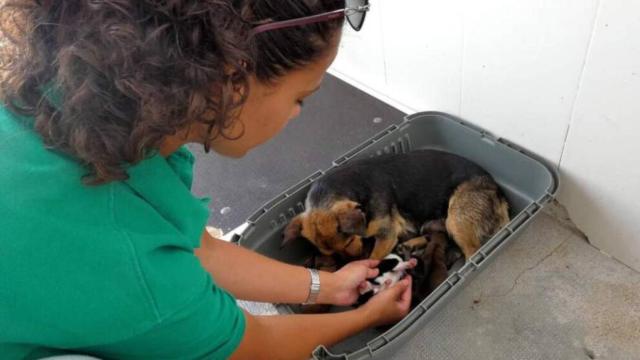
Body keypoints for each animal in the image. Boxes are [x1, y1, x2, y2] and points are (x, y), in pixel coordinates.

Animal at [282, 150, 512, 262]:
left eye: (348, 243)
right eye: (332, 254)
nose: (350, 262)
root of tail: (497, 191)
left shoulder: (386, 234)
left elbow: (374, 257)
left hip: (456, 218)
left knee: (472, 250)